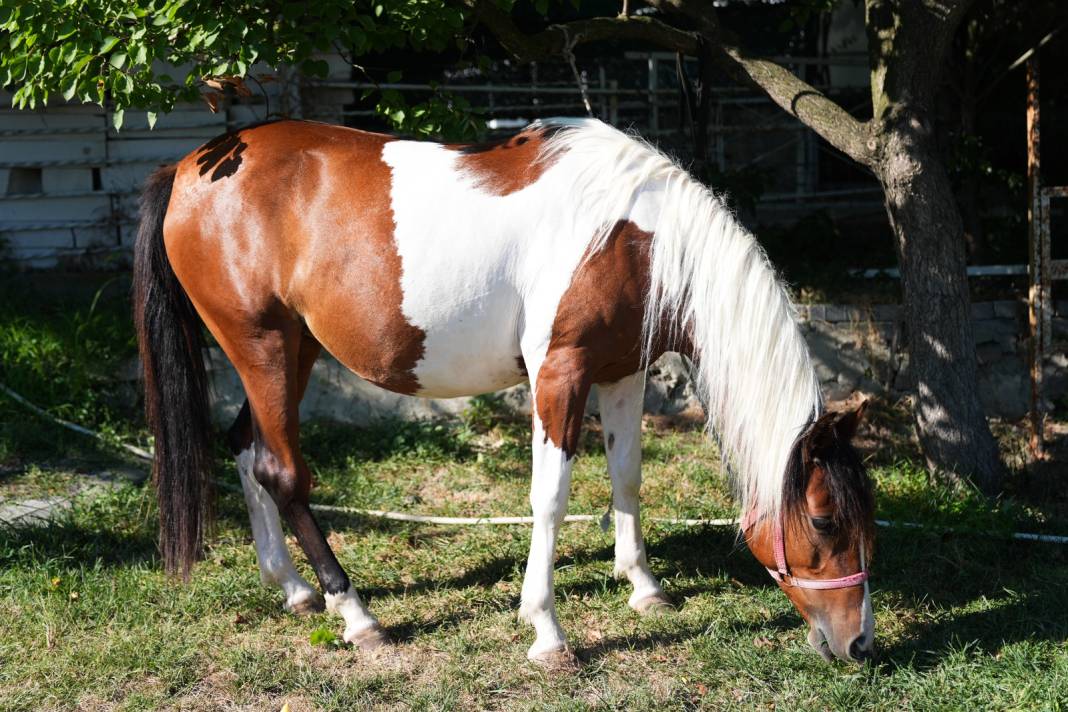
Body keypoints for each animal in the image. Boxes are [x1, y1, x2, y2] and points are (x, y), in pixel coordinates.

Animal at [131, 118, 875, 670]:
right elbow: (550, 499)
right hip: (262, 346)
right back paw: (355, 614)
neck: (634, 237)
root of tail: (194, 166)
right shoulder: (560, 373)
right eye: (825, 520)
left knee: (246, 450)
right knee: (283, 472)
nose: (859, 643)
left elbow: (628, 478)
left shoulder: (623, 372)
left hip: (290, 351)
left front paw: (643, 587)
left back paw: (290, 588)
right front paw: (546, 631)